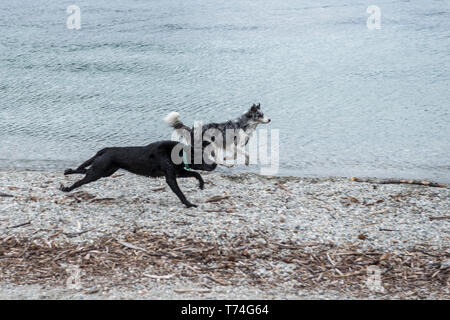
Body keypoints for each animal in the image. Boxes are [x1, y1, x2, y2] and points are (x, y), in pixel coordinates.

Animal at [60, 141, 217, 208]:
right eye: (203, 157)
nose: (215, 164)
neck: (179, 153)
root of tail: (107, 149)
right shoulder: (171, 178)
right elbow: (181, 193)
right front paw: (189, 204)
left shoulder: (178, 172)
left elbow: (196, 174)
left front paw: (201, 185)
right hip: (98, 172)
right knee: (80, 180)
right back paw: (67, 188)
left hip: (106, 171)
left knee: (83, 170)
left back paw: (68, 171)